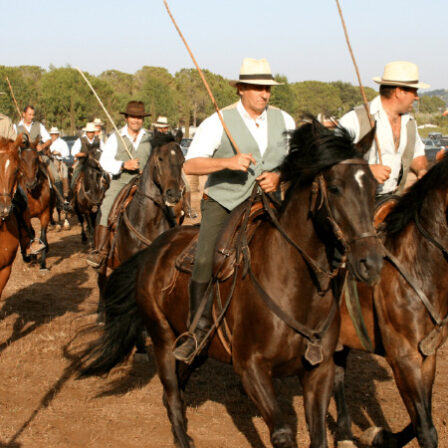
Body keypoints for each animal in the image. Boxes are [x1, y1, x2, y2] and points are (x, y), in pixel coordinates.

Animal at [19, 138, 54, 270]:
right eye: (22, 159)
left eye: (35, 158)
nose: (30, 183)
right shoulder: (25, 217)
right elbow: (30, 233)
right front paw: (33, 254)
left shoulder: (45, 214)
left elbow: (42, 235)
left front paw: (43, 263)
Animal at [78, 120, 384, 448]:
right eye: (336, 187)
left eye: (373, 188)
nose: (371, 262)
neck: (297, 288)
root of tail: (154, 249)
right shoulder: (251, 368)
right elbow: (282, 434)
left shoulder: (320, 370)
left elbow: (318, 436)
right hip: (162, 337)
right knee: (171, 396)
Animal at [332, 152, 448, 446]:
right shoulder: (403, 357)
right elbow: (425, 429)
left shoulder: (427, 356)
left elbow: (419, 422)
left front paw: (380, 436)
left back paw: (344, 433)